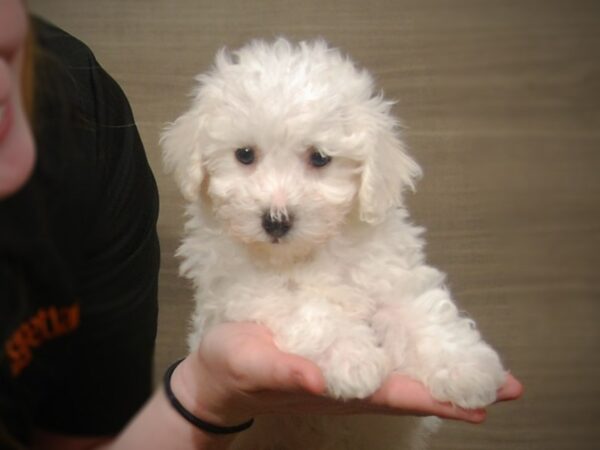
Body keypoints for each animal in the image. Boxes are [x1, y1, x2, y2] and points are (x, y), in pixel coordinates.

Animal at [161, 37, 506, 450]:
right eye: (244, 155)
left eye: (320, 158)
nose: (276, 221)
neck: (308, 250)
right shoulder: (241, 287)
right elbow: (310, 310)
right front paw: (353, 359)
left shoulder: (389, 273)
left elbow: (420, 313)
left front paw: (465, 368)